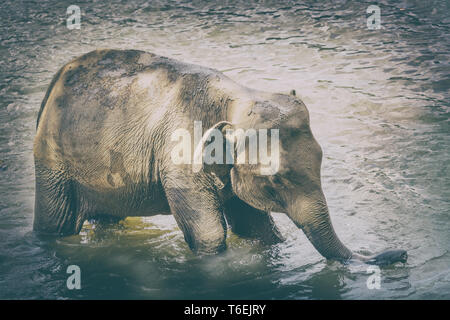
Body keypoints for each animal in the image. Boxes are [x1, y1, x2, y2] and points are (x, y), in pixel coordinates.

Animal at [34, 49, 408, 264]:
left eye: (321, 158)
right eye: (275, 179)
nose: (402, 253)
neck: (238, 98)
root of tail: (55, 79)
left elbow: (256, 226)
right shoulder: (180, 161)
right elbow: (212, 235)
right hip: (52, 162)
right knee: (56, 224)